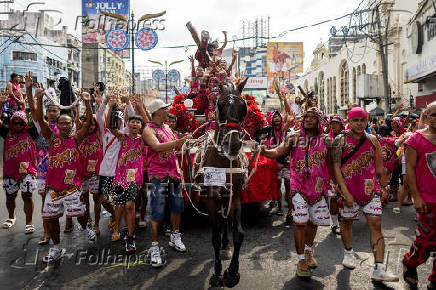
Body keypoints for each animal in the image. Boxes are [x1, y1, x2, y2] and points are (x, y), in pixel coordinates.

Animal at [193, 77, 250, 288]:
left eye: (243, 107)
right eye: (220, 105)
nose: (232, 144)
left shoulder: (236, 195)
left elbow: (239, 233)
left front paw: (232, 272)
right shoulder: (211, 197)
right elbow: (215, 235)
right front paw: (217, 273)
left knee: (226, 219)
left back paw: (227, 246)